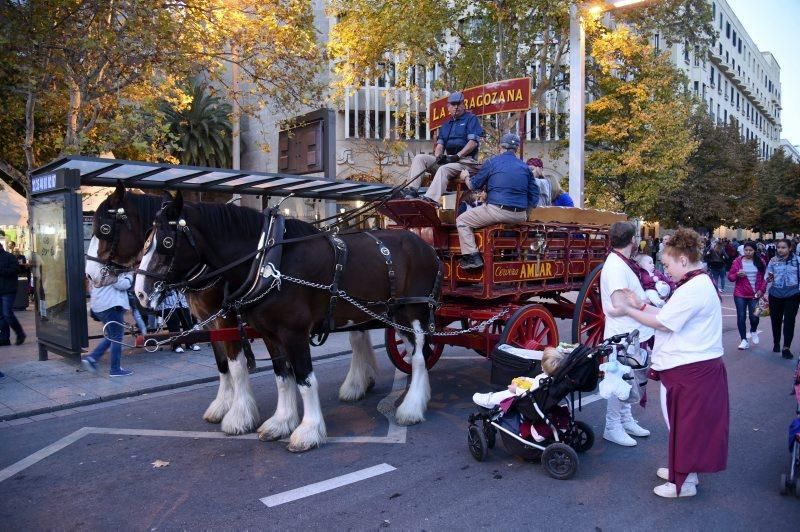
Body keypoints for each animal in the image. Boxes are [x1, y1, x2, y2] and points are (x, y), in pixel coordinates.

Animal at [134, 191, 440, 448]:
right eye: (145, 239)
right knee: (414, 352)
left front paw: (308, 431)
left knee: (419, 356)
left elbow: (304, 379)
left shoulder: (293, 332)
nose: (139, 293)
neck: (269, 261)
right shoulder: (269, 333)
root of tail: (425, 245)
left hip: (415, 311)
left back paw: (411, 407)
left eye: (167, 242)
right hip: (394, 314)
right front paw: (281, 422)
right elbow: (282, 377)